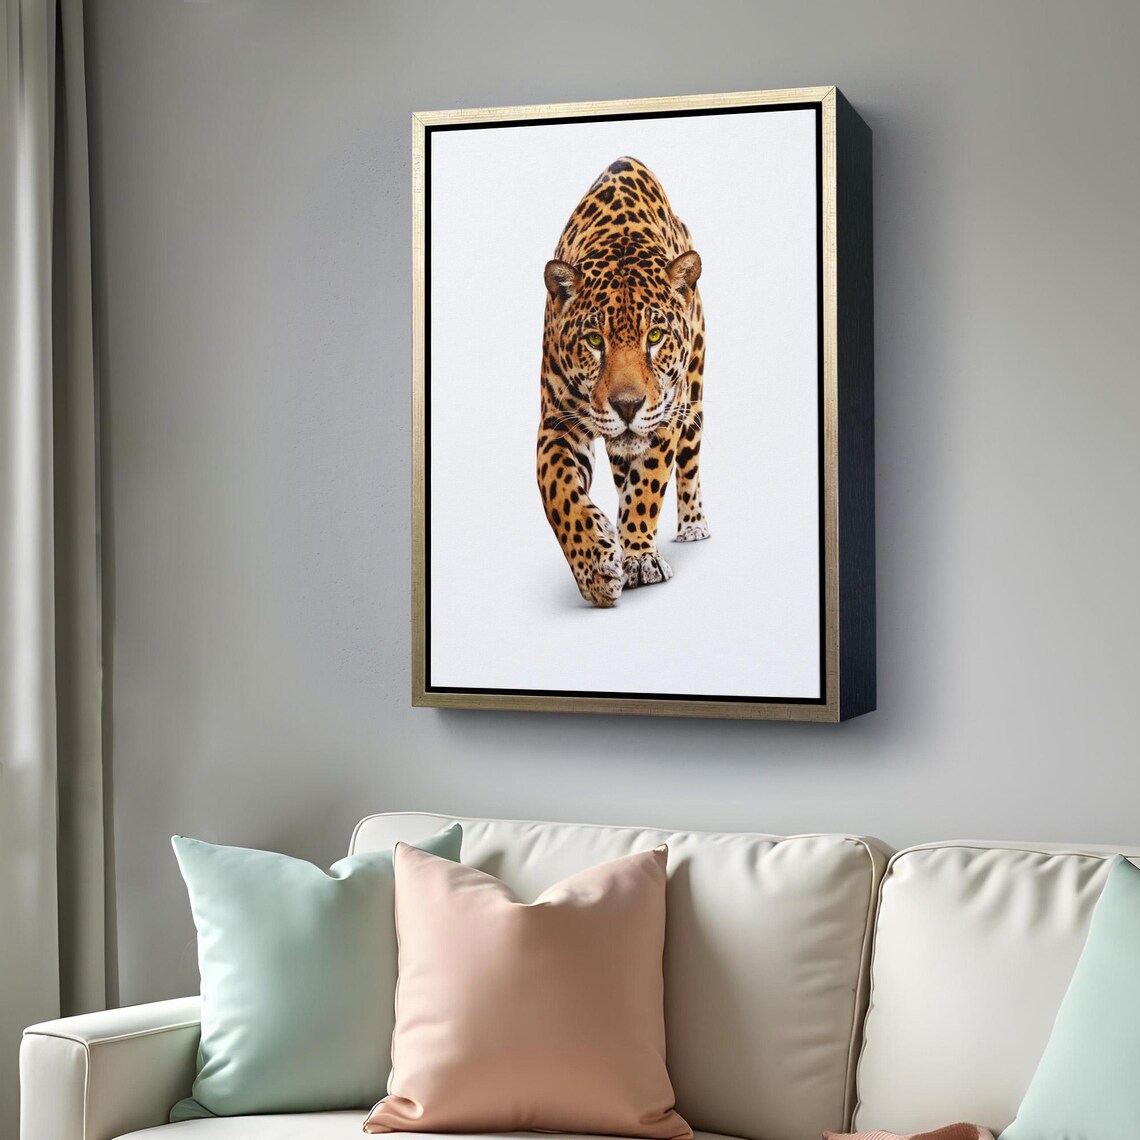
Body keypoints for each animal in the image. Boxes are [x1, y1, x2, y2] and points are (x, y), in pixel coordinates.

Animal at [537, 156, 709, 609]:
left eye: (655, 336)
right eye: (596, 341)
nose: (628, 406)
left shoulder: (666, 415)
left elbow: (648, 485)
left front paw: (639, 558)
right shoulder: (556, 423)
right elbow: (558, 493)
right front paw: (596, 568)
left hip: (694, 400)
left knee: (688, 465)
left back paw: (693, 524)